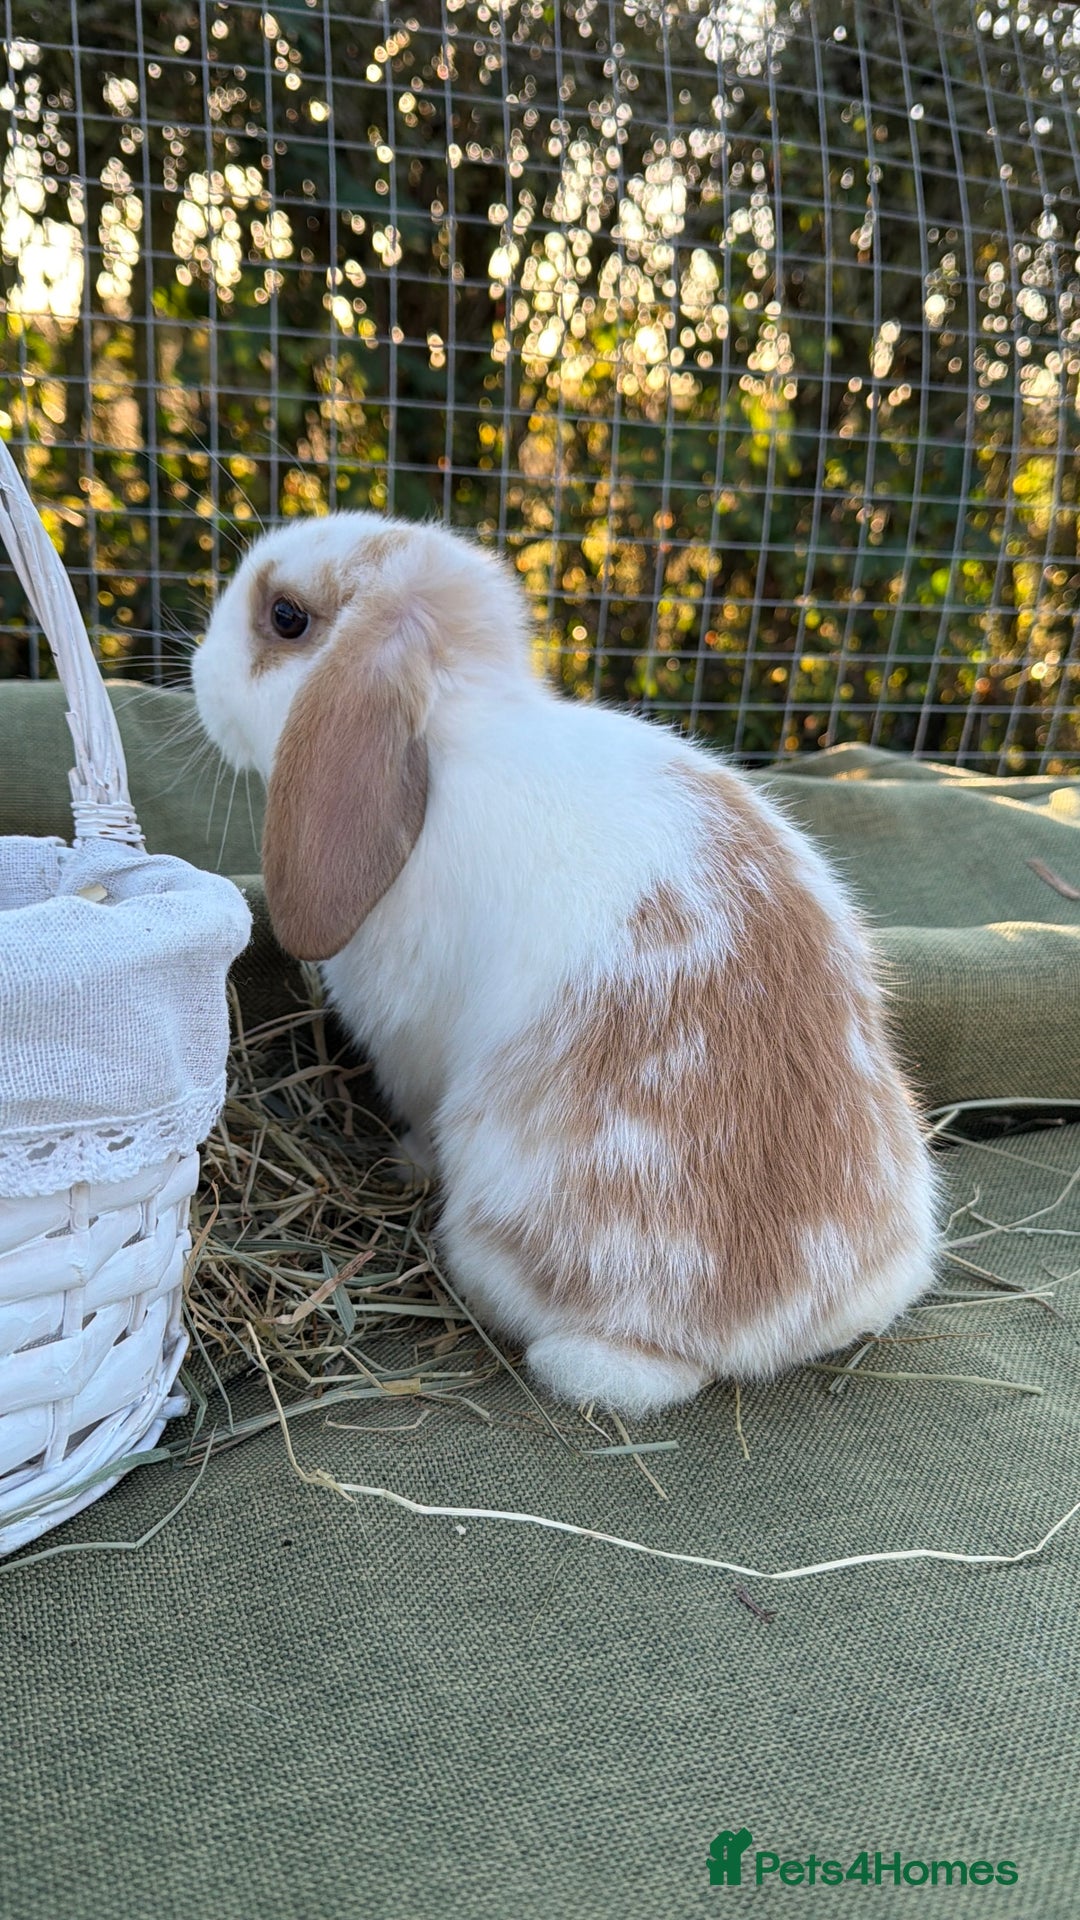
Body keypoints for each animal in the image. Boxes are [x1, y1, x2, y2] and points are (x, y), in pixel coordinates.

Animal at [193, 512, 938, 1416]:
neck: (449, 740)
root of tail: (732, 1329)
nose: (197, 670)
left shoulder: (410, 1044)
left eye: (286, 618)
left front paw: (406, 1160)